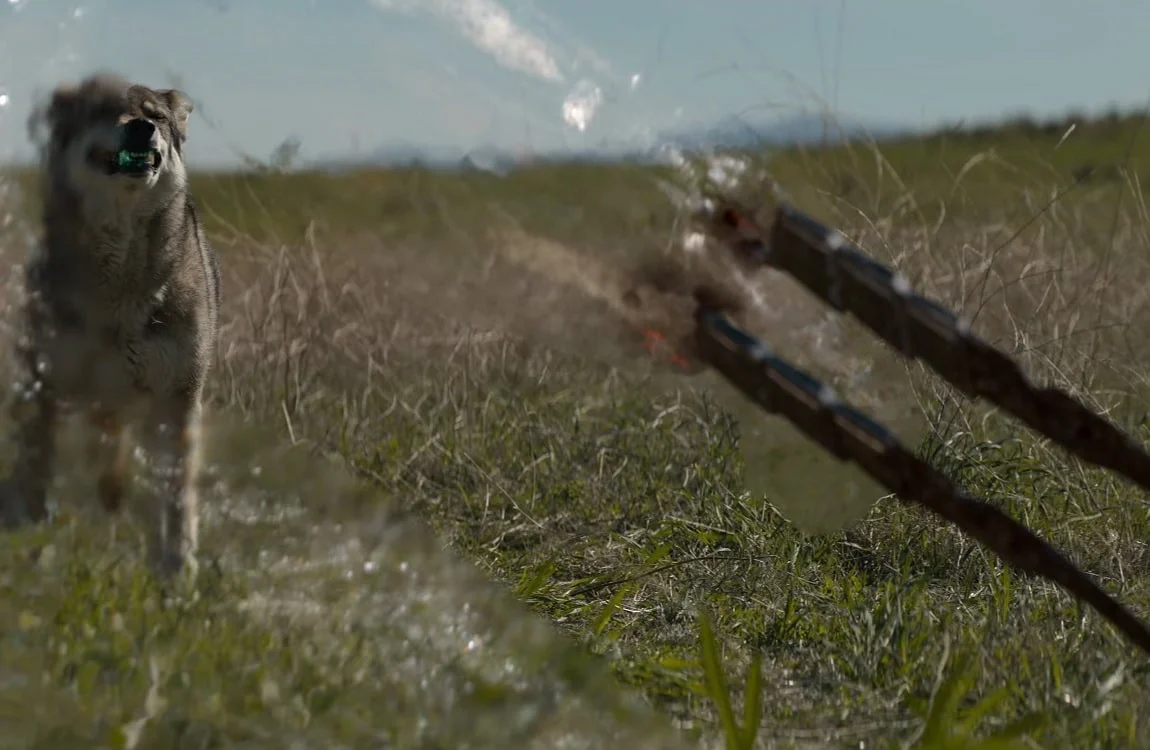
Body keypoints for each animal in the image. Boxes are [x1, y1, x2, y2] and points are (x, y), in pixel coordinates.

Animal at [0, 73, 221, 578]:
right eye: (103, 111)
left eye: (154, 115)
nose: (141, 128)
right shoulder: (46, 386)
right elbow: (35, 475)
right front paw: (29, 550)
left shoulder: (178, 400)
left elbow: (176, 499)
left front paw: (177, 573)